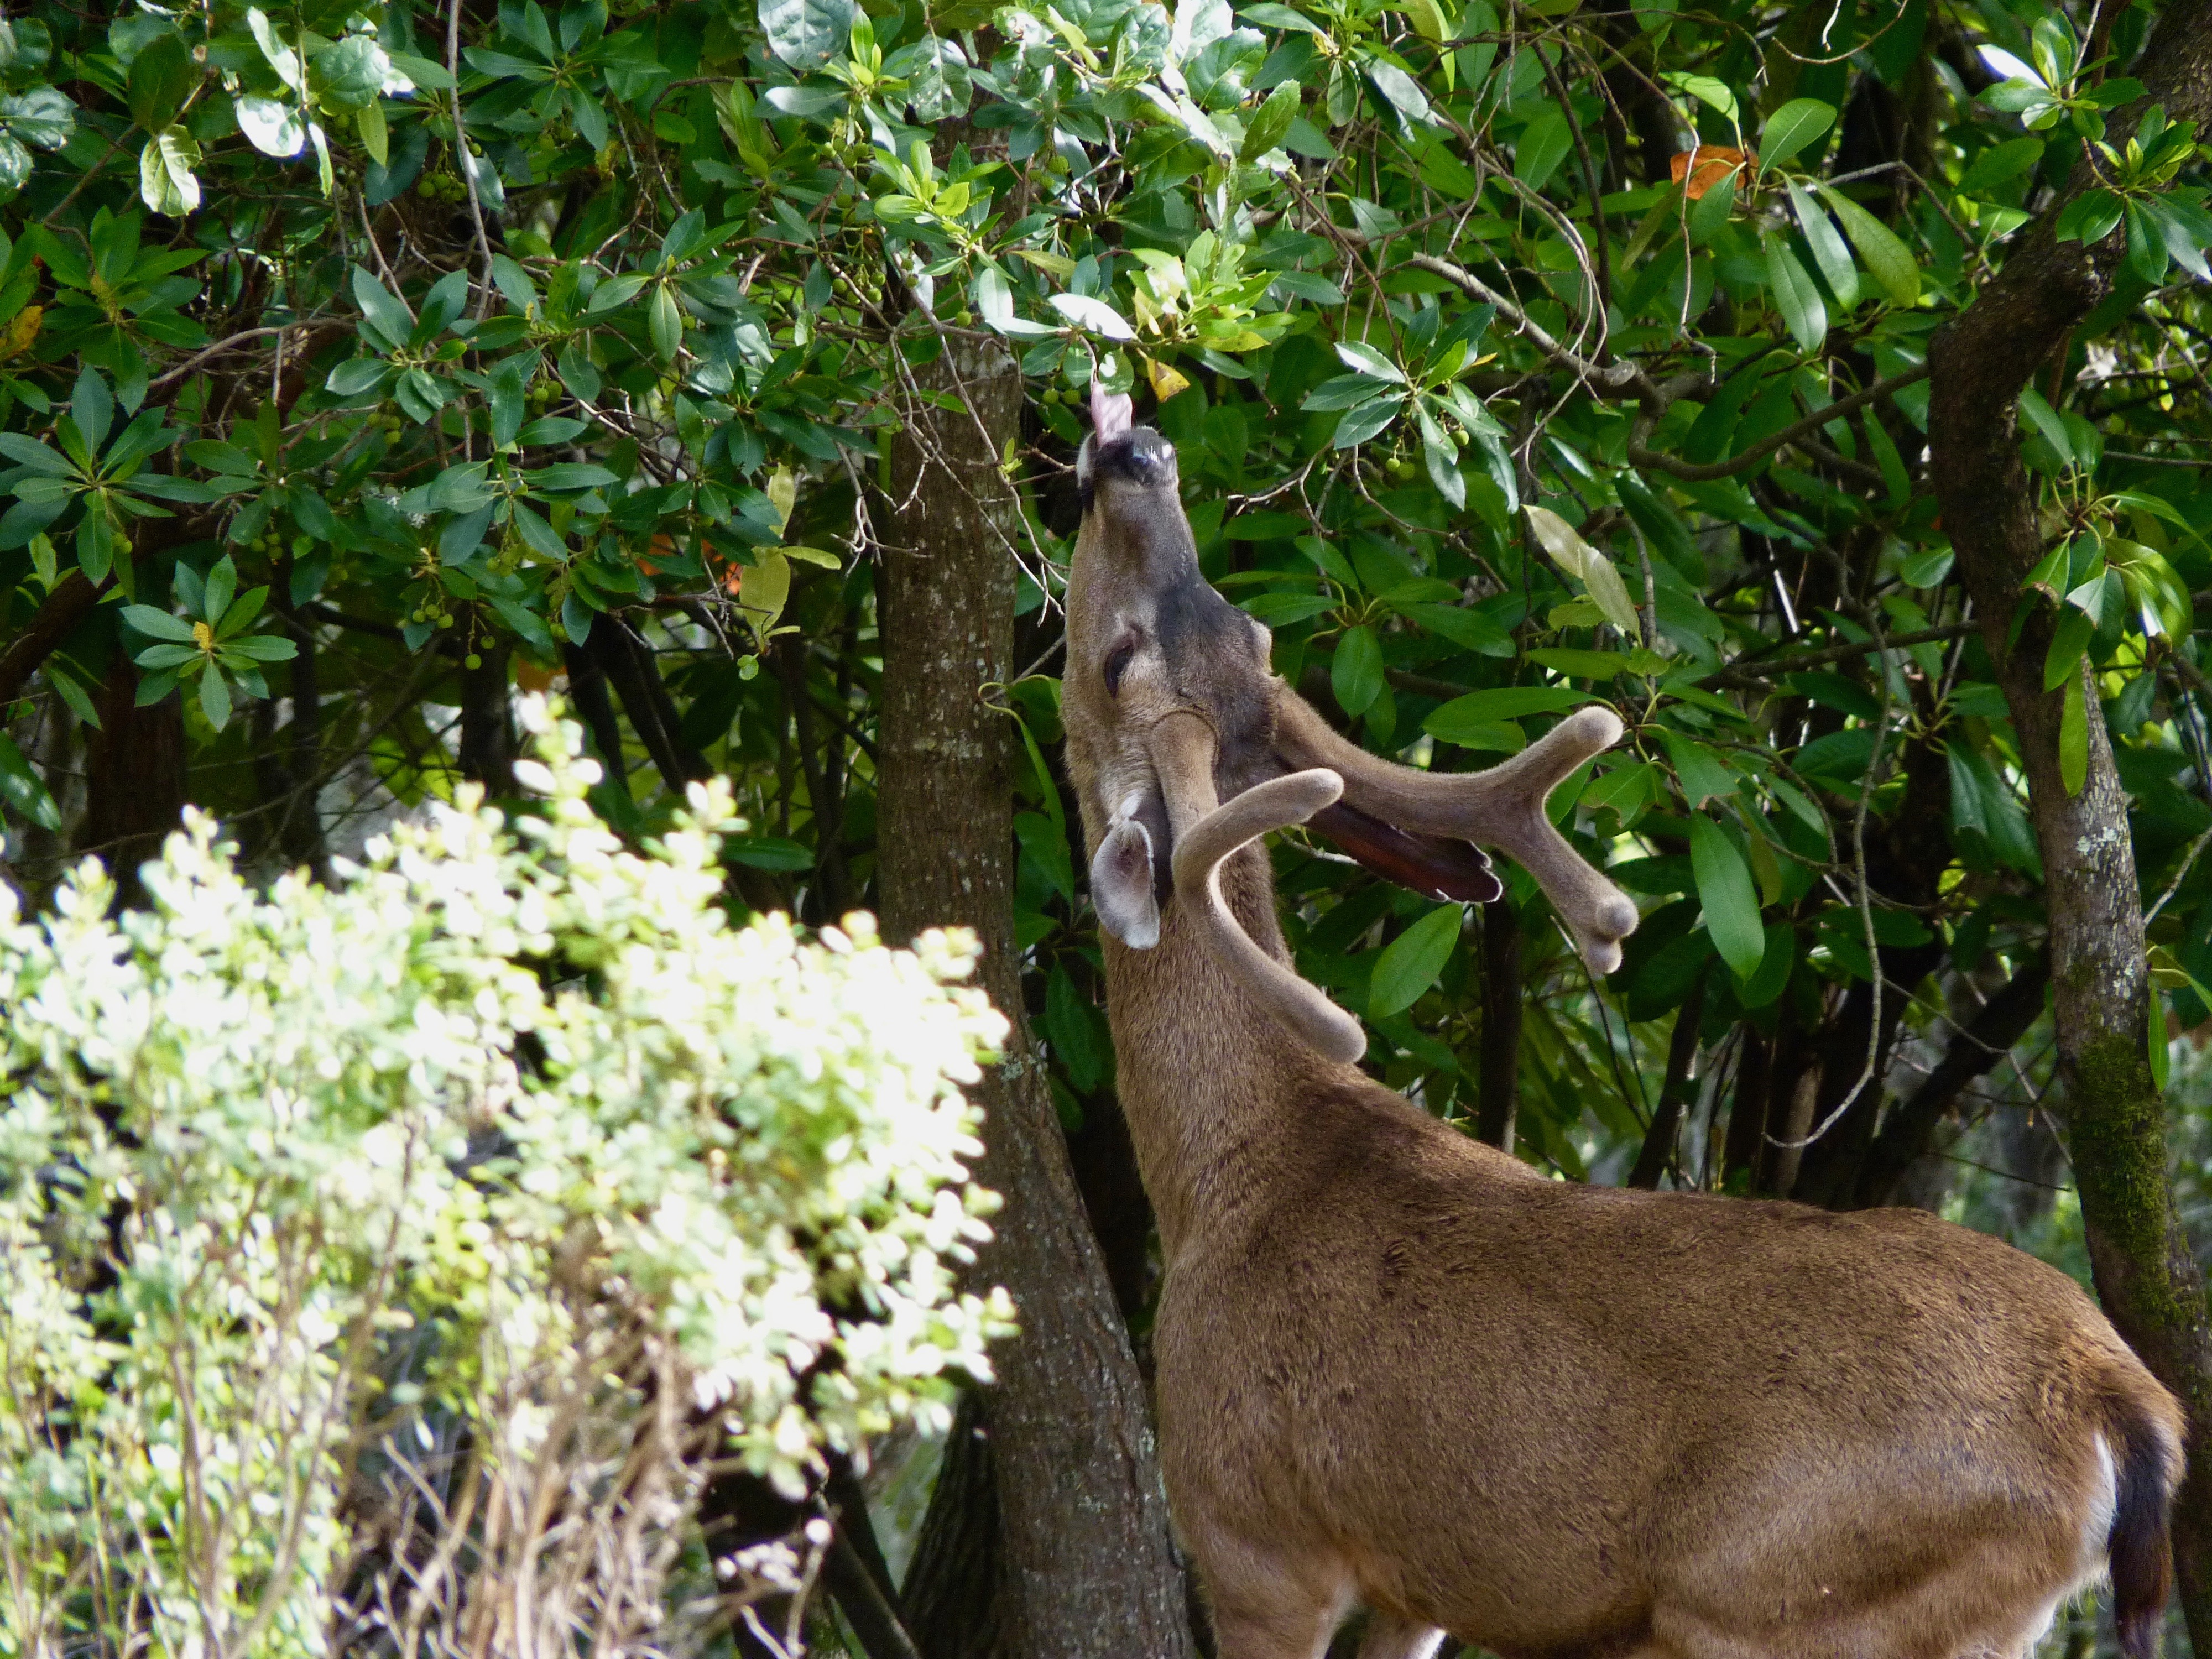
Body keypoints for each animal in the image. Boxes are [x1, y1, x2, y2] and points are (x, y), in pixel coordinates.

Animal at [1058, 386, 2185, 1659]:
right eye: (1244, 625)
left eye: (1116, 657)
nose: (1133, 450)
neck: (1221, 1172)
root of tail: (2123, 1407)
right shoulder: (1418, 1584)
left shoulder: (1251, 1533)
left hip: (1771, 1600)